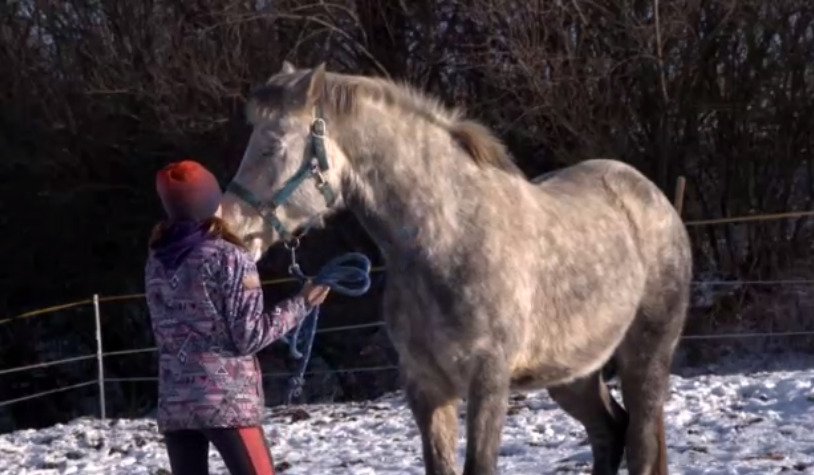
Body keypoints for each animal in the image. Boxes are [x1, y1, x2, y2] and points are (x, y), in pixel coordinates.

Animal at [220, 61, 692, 474]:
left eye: (272, 147)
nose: (228, 226)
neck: (450, 238)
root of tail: (655, 198)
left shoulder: (489, 382)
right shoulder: (426, 387)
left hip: (646, 356)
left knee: (640, 443)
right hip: (573, 374)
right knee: (610, 433)